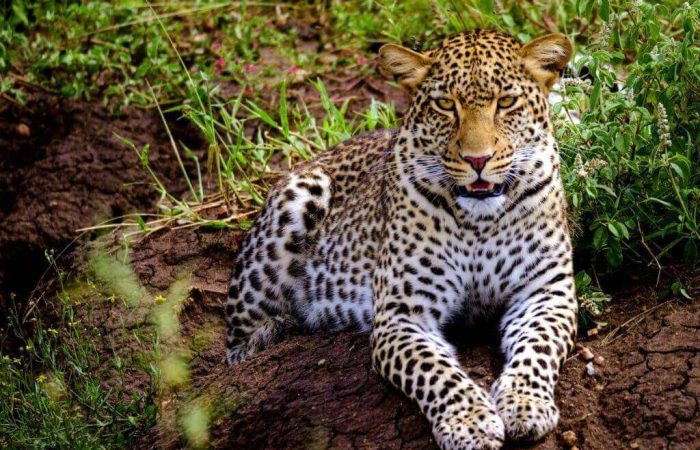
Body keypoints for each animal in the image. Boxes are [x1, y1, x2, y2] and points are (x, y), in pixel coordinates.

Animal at [225, 29, 577, 450]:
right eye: (445, 105)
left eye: (506, 102)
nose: (478, 160)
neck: (480, 221)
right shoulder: (402, 315)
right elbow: (436, 372)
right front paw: (470, 423)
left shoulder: (545, 294)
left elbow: (537, 350)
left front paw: (525, 404)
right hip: (295, 204)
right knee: (236, 349)